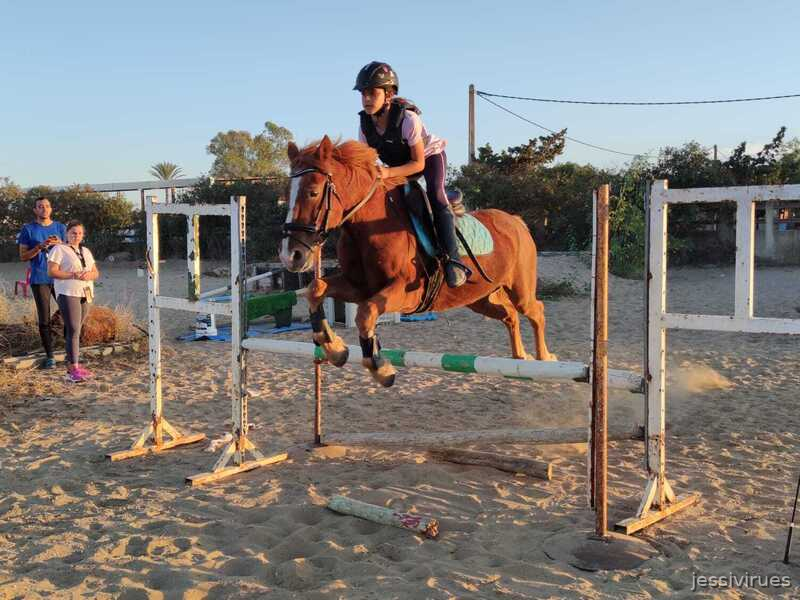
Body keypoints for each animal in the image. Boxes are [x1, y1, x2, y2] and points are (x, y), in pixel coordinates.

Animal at [280, 136, 555, 387]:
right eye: (286, 195)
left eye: (313, 192)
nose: (289, 255)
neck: (366, 226)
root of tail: (516, 221)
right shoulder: (358, 287)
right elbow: (316, 290)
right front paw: (334, 347)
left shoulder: (408, 294)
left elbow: (366, 313)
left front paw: (380, 368)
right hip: (480, 298)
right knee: (510, 315)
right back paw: (520, 357)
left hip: (519, 290)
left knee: (536, 311)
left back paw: (545, 358)